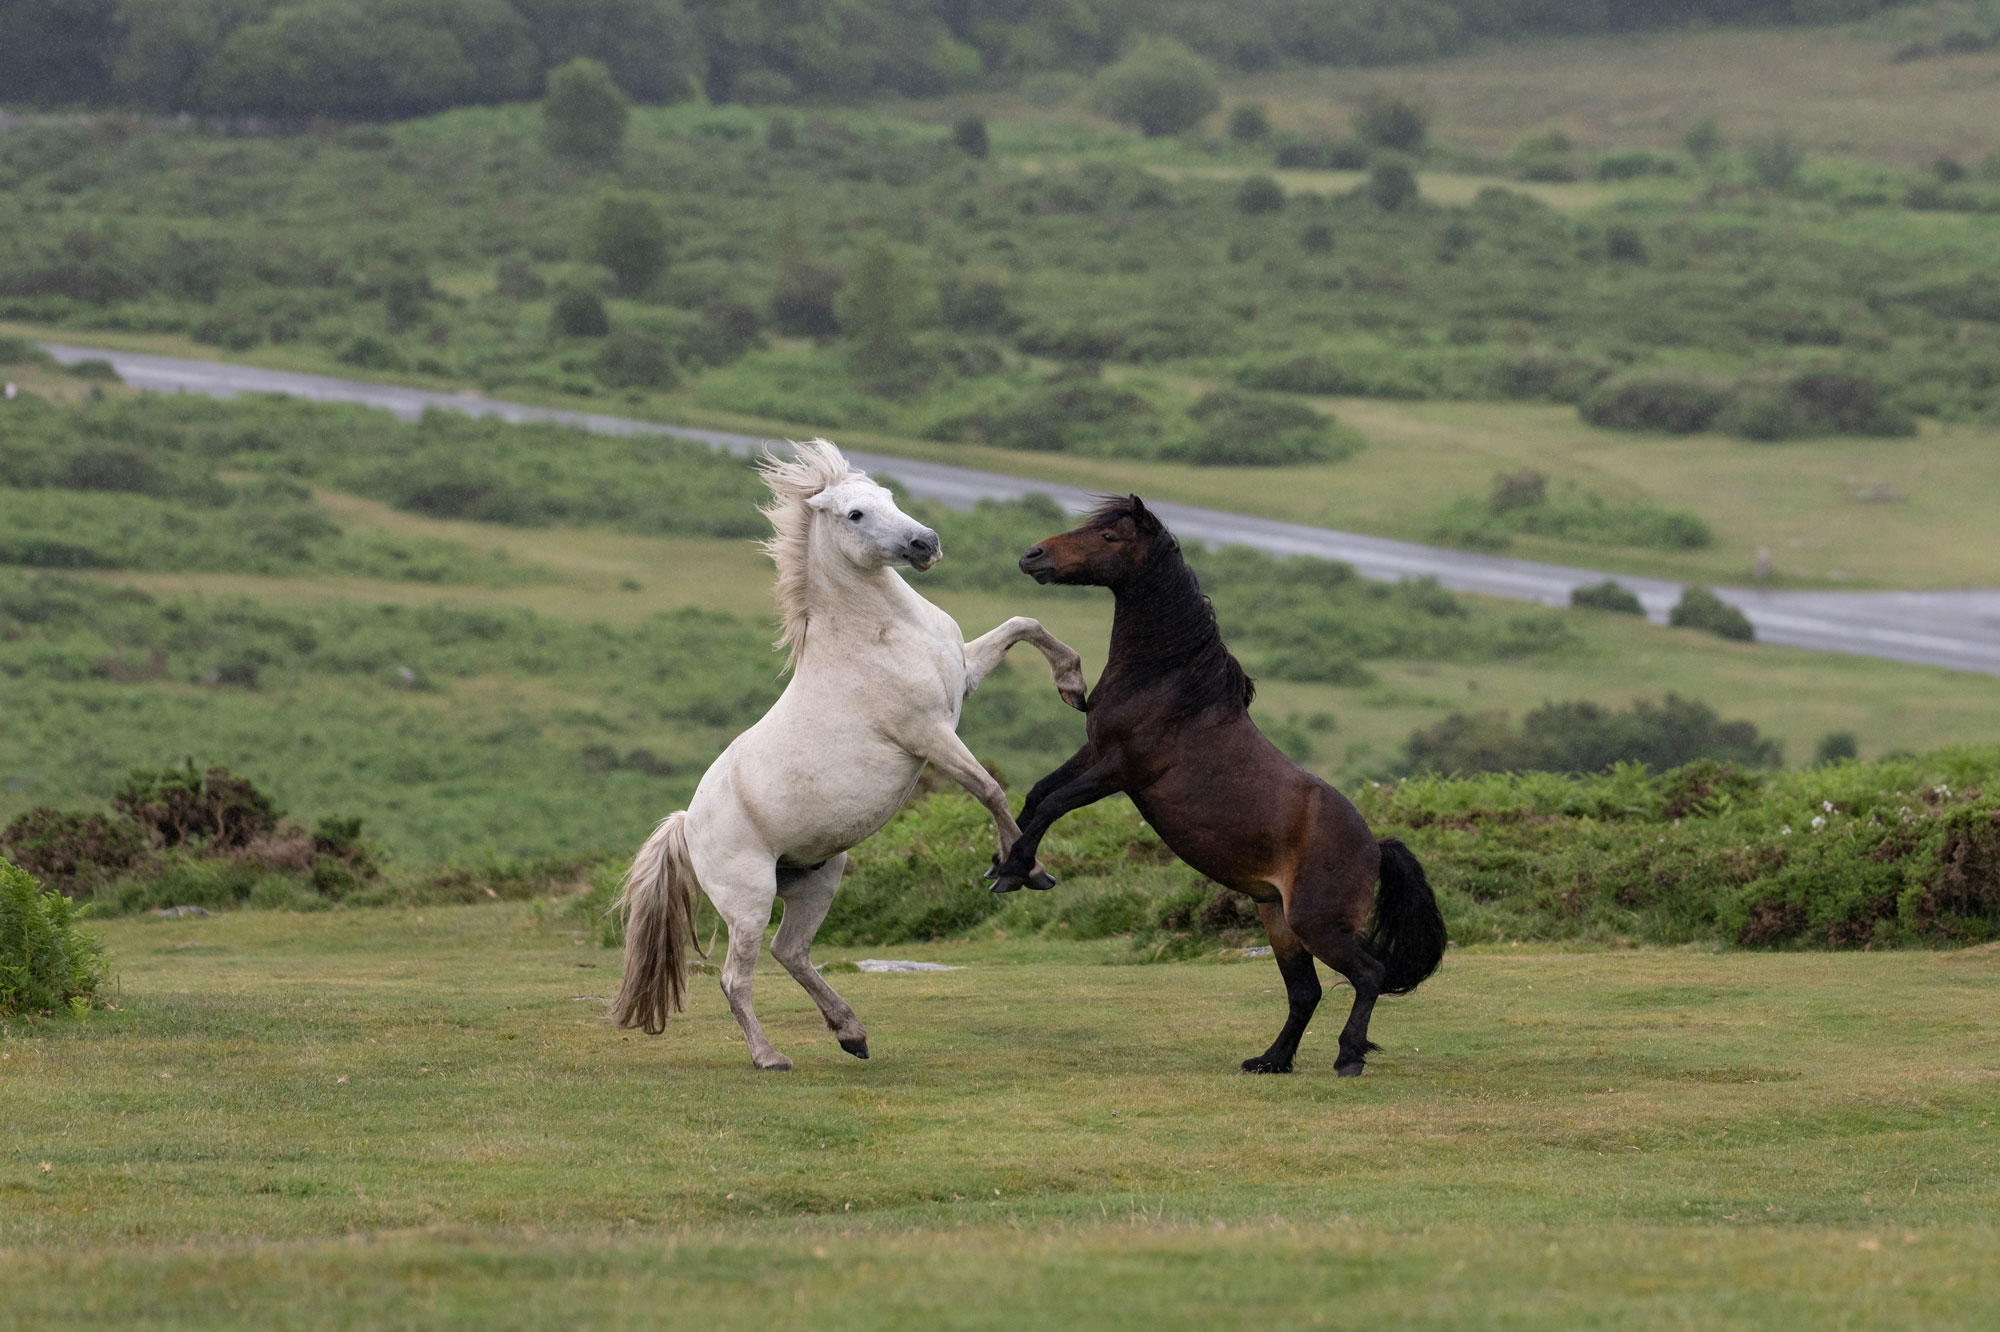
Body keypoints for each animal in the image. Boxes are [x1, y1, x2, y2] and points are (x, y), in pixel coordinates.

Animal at [610, 440, 1087, 1071]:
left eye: (888, 495)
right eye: (855, 515)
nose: (925, 543)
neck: (874, 633)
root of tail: (688, 823)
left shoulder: (962, 678)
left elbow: (1023, 624)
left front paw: (1074, 685)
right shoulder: (929, 733)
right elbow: (989, 789)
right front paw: (1020, 869)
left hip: (818, 878)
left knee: (791, 952)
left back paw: (851, 1033)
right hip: (749, 899)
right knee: (738, 977)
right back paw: (771, 1057)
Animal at [991, 495, 1447, 1077]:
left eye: (1109, 537)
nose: (1033, 555)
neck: (1167, 683)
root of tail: (1375, 846)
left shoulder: (1120, 770)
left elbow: (1053, 803)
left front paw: (1016, 871)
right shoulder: (1093, 753)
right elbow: (1035, 795)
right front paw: (1007, 865)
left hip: (1318, 924)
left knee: (1367, 975)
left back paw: (1348, 1057)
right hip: (1278, 920)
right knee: (1306, 992)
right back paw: (1270, 1060)